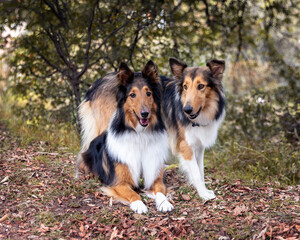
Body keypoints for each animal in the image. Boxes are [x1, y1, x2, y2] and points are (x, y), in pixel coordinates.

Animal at [76, 61, 173, 213]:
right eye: (132, 95)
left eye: (148, 93)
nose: (144, 113)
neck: (140, 135)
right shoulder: (118, 183)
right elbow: (133, 193)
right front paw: (139, 205)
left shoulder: (154, 178)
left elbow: (160, 191)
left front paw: (164, 203)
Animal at [162, 58, 225, 201]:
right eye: (185, 86)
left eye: (201, 86)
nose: (187, 110)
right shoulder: (186, 146)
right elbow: (196, 173)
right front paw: (203, 194)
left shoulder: (199, 146)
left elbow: (201, 171)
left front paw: (205, 191)